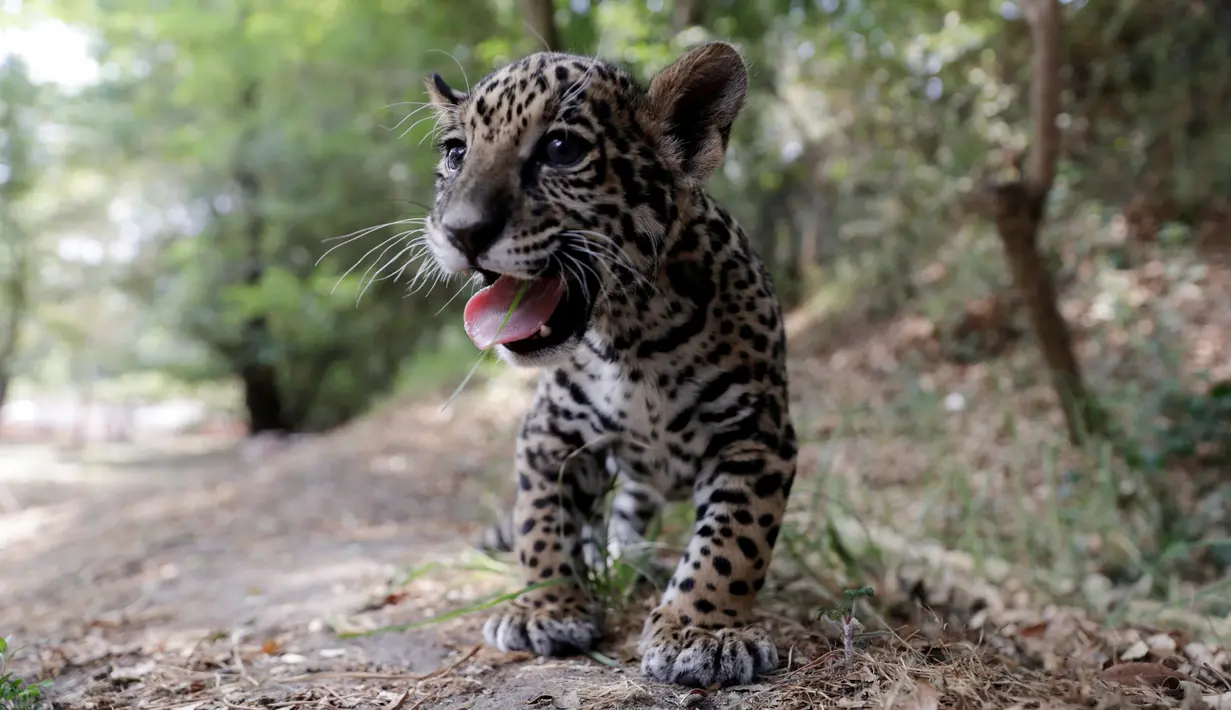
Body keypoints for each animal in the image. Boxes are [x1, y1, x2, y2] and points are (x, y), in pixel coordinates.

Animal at [421, 41, 797, 688]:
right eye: (455, 153)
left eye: (560, 149)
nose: (461, 231)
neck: (634, 337)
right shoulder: (550, 434)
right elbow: (540, 524)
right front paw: (546, 608)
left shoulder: (757, 437)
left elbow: (731, 542)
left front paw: (702, 631)